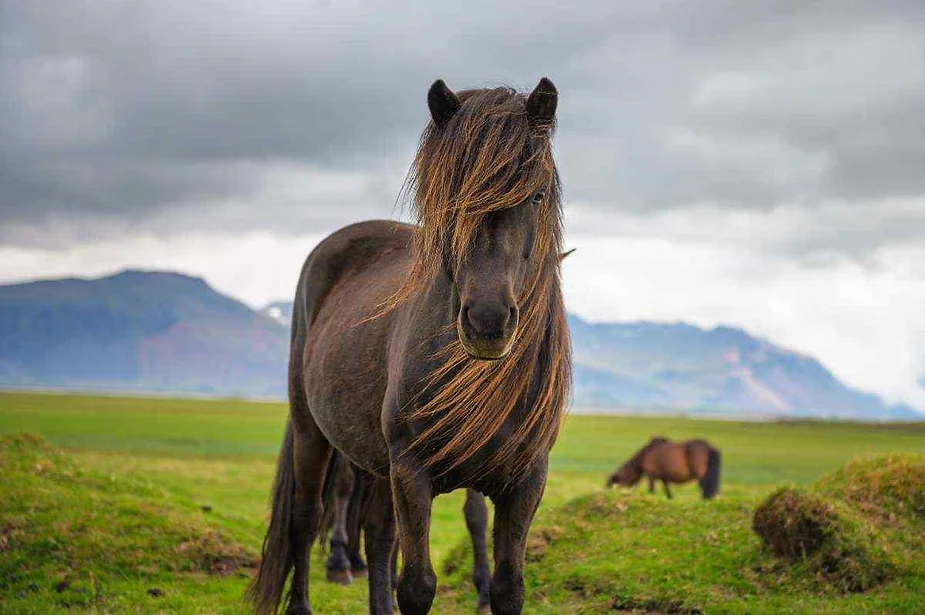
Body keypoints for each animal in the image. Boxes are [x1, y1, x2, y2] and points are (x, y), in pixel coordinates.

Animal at [248, 77, 571, 615]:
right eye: (450, 195)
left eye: (538, 195)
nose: (487, 322)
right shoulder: (412, 472)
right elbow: (417, 584)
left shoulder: (526, 479)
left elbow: (507, 586)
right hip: (314, 431)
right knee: (307, 516)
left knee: (378, 535)